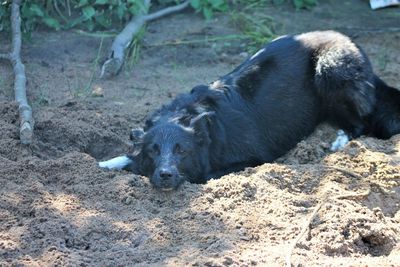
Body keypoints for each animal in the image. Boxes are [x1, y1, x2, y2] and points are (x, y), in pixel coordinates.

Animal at [98, 30, 400, 191]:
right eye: (153, 151)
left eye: (182, 151)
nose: (165, 175)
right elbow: (125, 157)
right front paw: (105, 164)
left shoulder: (253, 158)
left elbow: (208, 175)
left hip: (331, 68)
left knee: (360, 123)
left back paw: (337, 142)